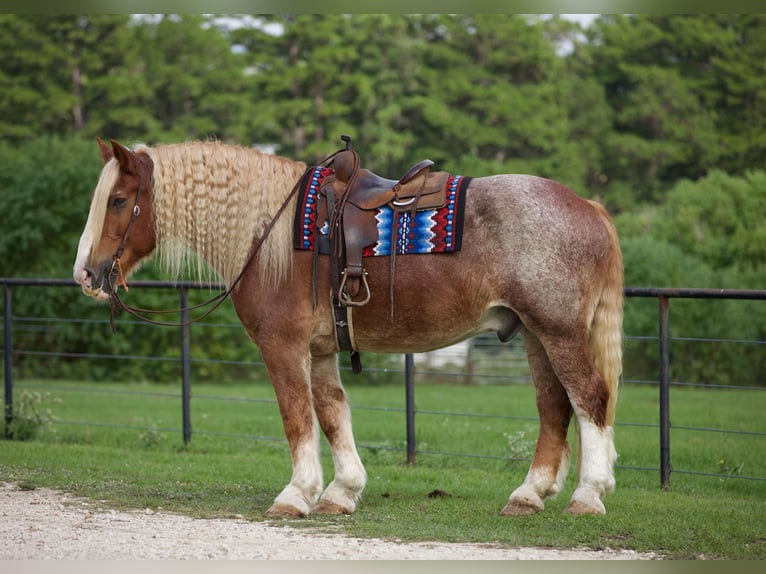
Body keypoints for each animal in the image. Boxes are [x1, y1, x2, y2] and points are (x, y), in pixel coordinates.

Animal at [73, 138, 624, 516]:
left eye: (118, 200)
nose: (85, 273)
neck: (272, 234)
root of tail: (589, 206)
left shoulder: (283, 347)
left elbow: (297, 417)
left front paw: (296, 494)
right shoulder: (319, 351)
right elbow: (333, 413)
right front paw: (342, 491)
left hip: (558, 332)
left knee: (588, 398)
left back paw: (587, 495)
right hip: (534, 334)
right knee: (554, 407)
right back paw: (530, 494)